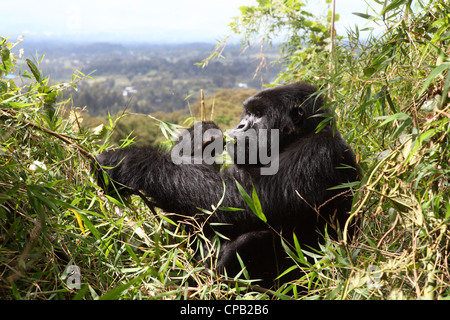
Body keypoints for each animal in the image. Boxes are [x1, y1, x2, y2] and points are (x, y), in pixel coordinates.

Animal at [93, 82, 360, 288]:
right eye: (246, 113)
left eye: (259, 115)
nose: (241, 126)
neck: (297, 136)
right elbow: (192, 220)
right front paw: (197, 138)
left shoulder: (315, 155)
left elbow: (235, 203)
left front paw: (129, 161)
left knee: (254, 241)